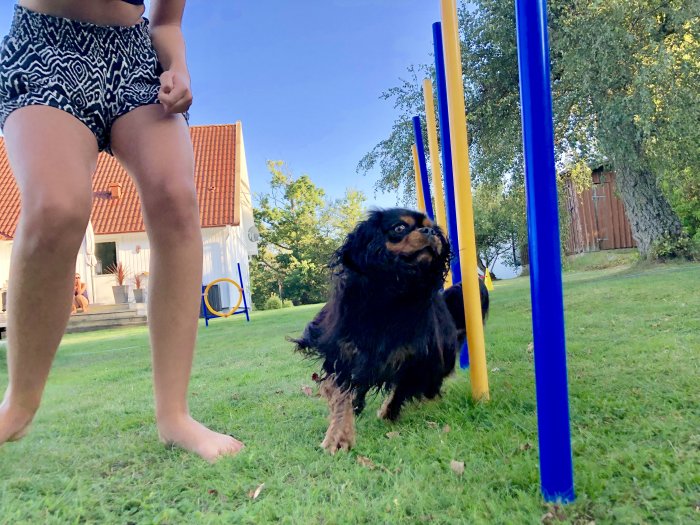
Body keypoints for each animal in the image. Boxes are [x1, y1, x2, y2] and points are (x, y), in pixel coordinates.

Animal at [292, 207, 490, 452]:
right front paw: (338, 436)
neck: (392, 295)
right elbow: (341, 397)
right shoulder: (342, 354)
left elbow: (400, 391)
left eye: (434, 229)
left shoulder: (416, 360)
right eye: (399, 228)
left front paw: (388, 414)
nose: (429, 232)